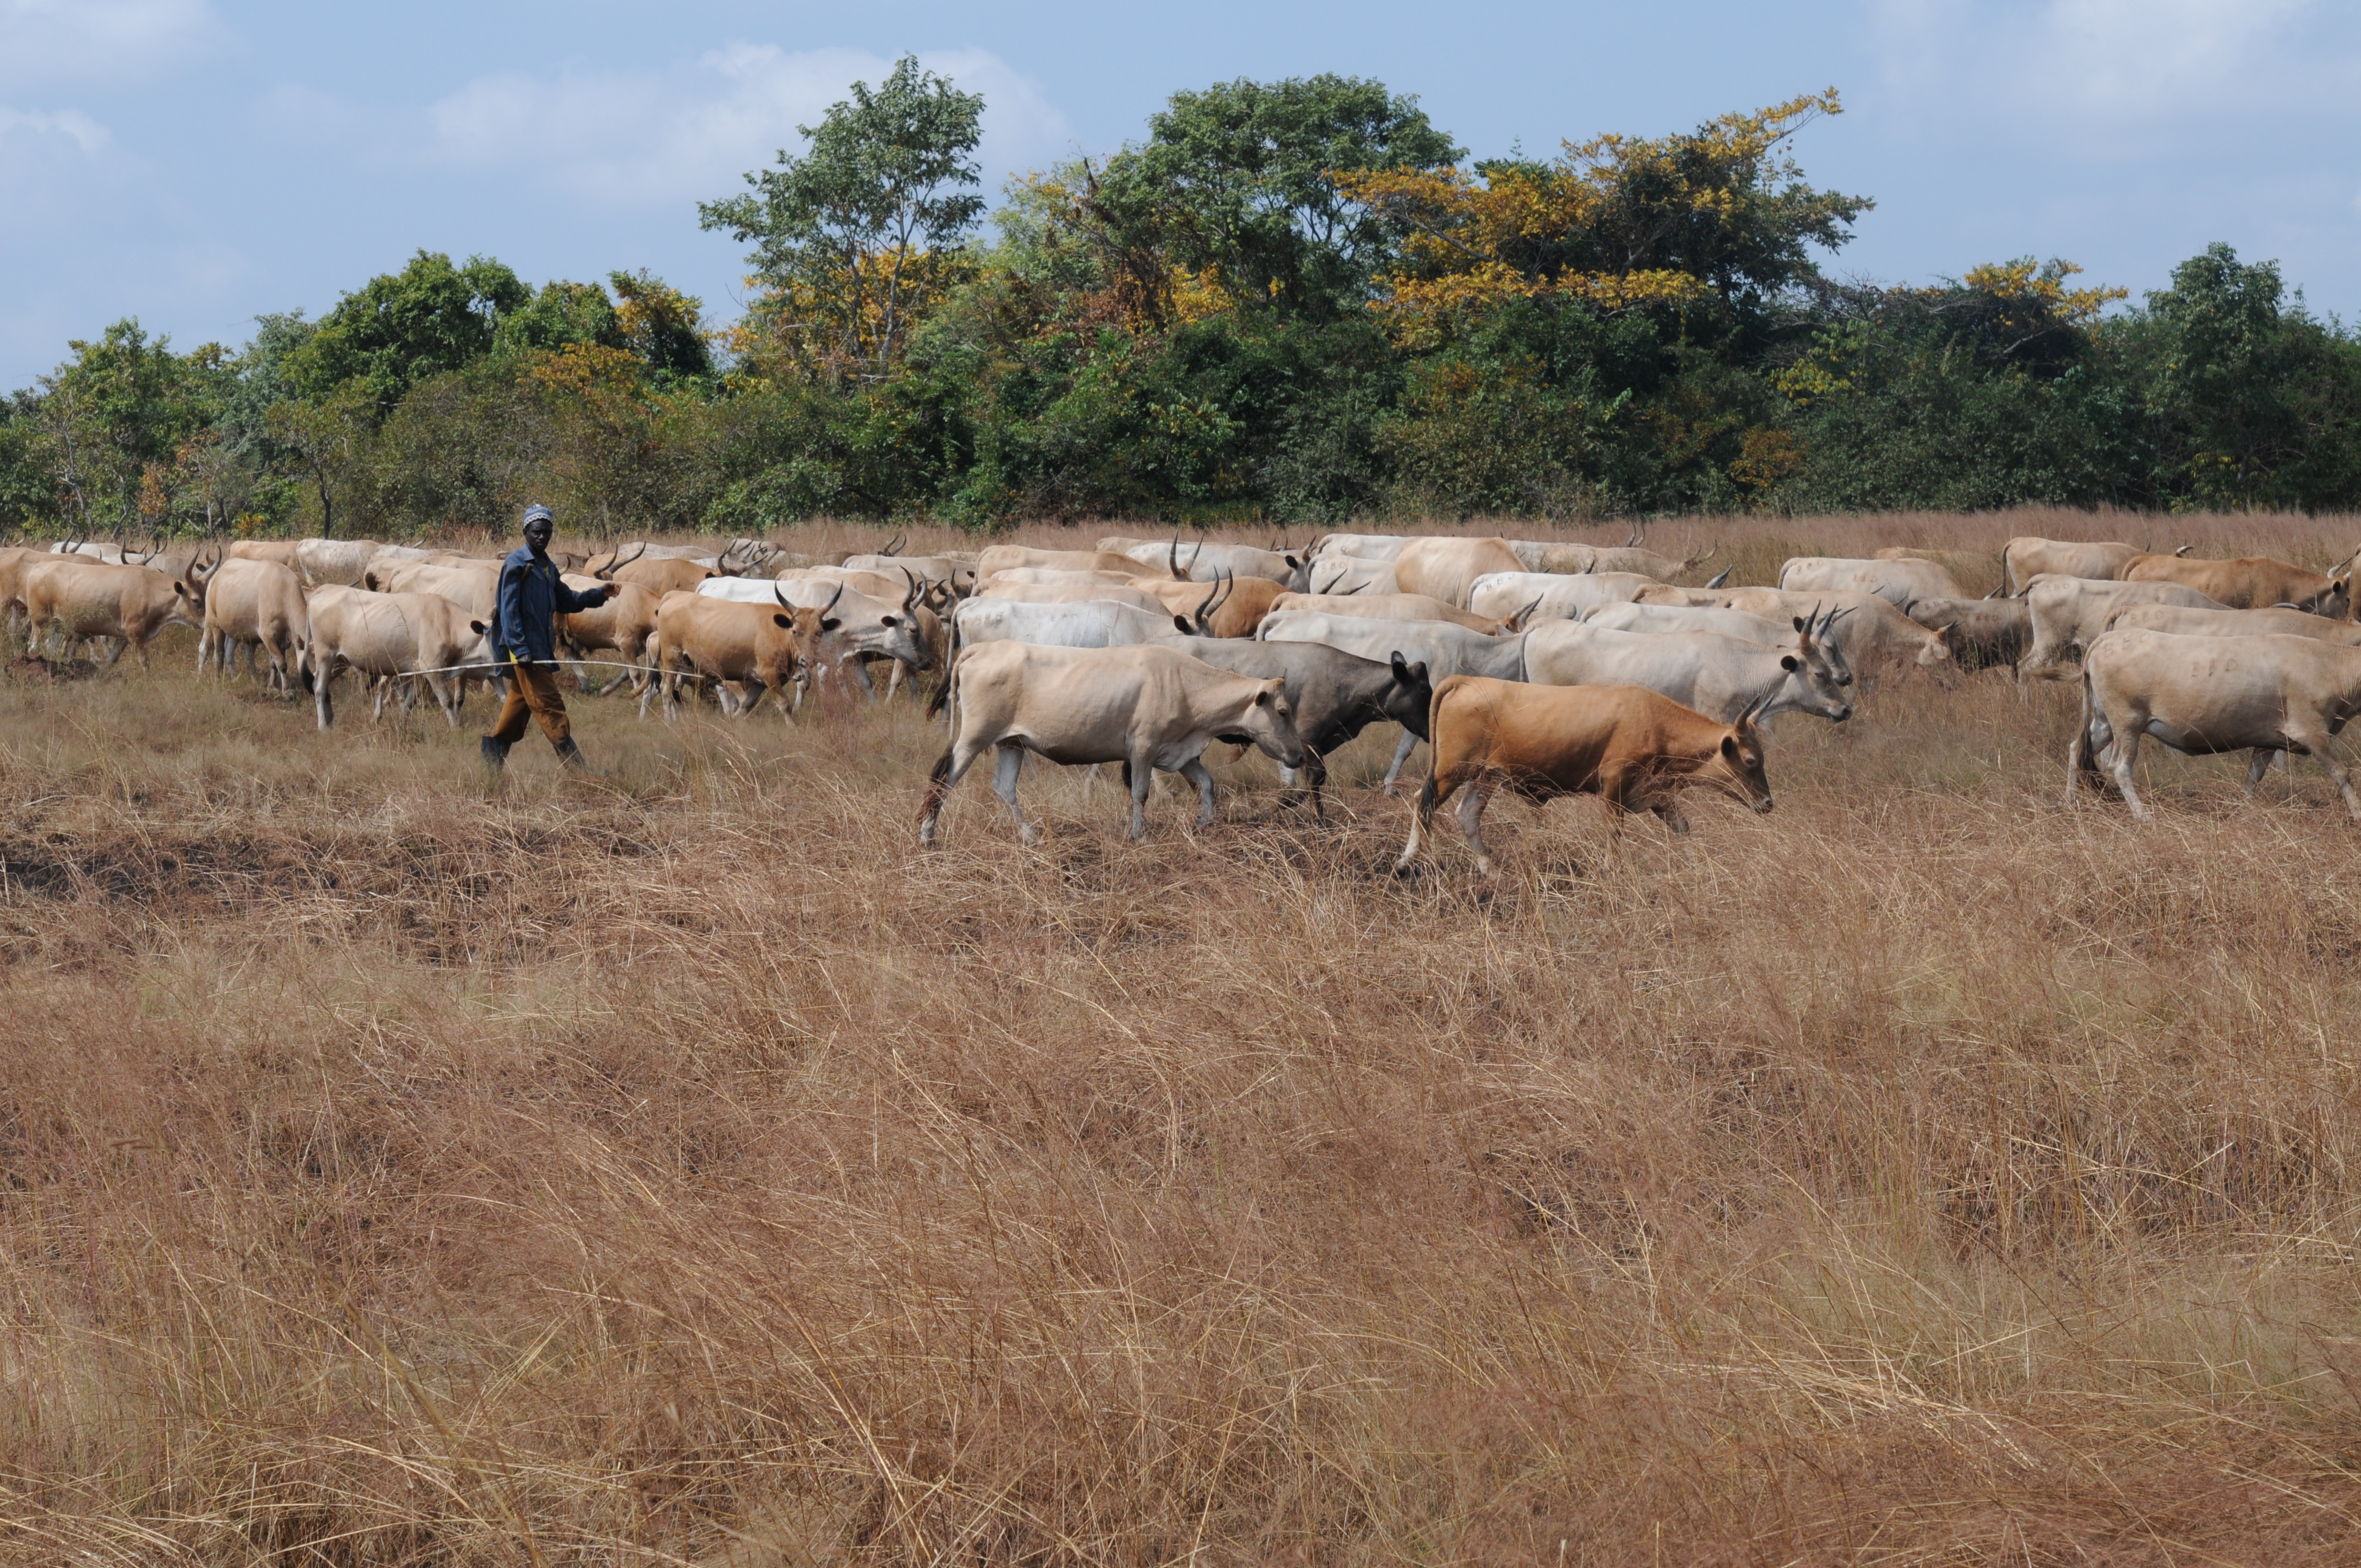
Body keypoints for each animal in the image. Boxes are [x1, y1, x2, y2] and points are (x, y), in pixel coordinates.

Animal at [916, 642, 1313, 845]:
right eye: (1283, 711)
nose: (1298, 756)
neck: (1185, 683)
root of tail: (983, 648)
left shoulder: (1179, 751)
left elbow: (1207, 781)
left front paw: (1204, 821)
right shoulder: (1144, 748)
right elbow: (1140, 793)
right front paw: (1138, 834)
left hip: (1011, 742)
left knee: (1004, 787)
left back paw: (1030, 836)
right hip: (974, 737)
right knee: (942, 778)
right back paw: (927, 836)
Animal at [1397, 675, 1775, 873]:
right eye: (1750, 760)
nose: (1768, 804)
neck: (1656, 721)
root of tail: (1468, 681)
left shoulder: (1660, 796)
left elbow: (1684, 829)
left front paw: (1697, 866)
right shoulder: (1614, 786)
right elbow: (1613, 833)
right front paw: (1611, 869)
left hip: (1484, 777)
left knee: (1468, 815)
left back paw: (1488, 869)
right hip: (1451, 771)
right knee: (1422, 803)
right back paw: (1408, 860)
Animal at [2077, 628, 2361, 821]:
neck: (2330, 665)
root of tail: (2109, 638)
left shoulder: (2268, 739)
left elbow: (2253, 778)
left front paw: (2244, 810)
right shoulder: (2313, 731)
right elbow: (2341, 772)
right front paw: (2357, 812)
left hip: (2104, 722)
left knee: (2076, 749)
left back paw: (2072, 800)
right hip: (2127, 722)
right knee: (2120, 767)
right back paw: (2142, 814)